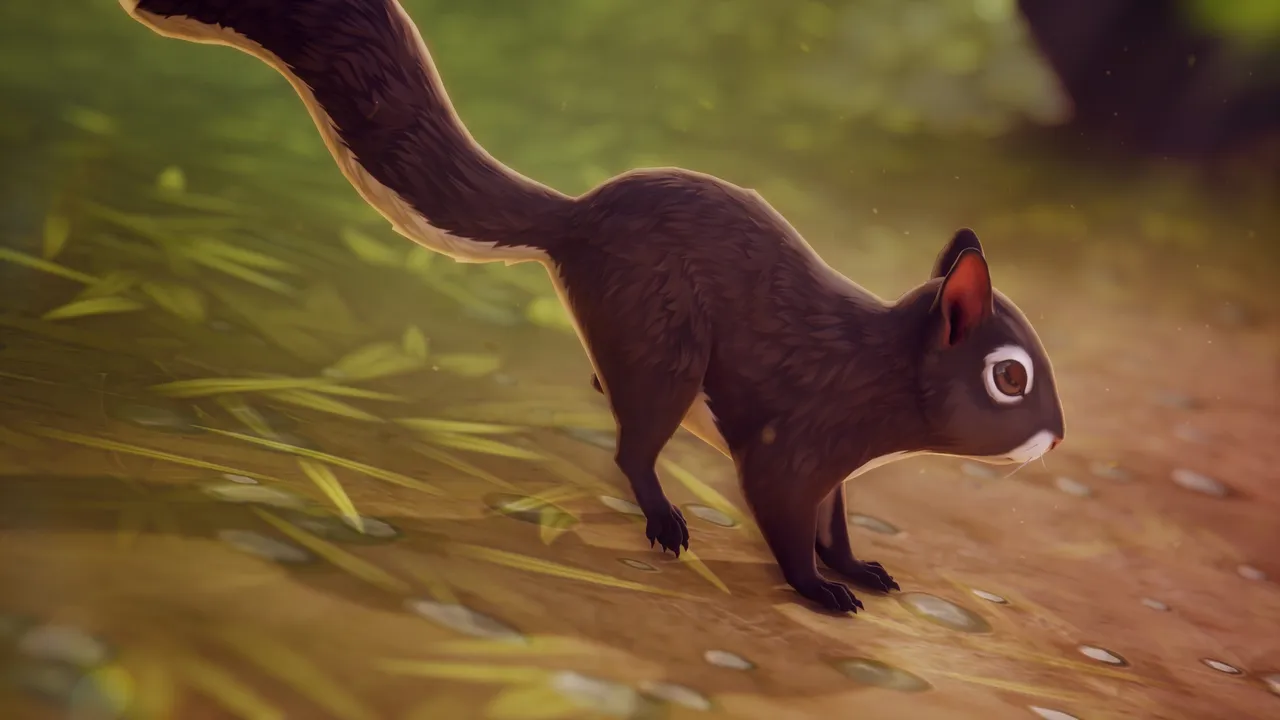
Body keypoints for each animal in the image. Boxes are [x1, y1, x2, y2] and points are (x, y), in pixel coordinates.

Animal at [120, 0, 1066, 614]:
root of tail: (577, 219)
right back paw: (664, 522)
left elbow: (833, 521)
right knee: (632, 446)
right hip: (663, 345)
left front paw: (860, 567)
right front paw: (820, 590)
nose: (1058, 437)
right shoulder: (795, 440)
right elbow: (787, 518)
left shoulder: (835, 467)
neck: (876, 368)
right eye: (1011, 377)